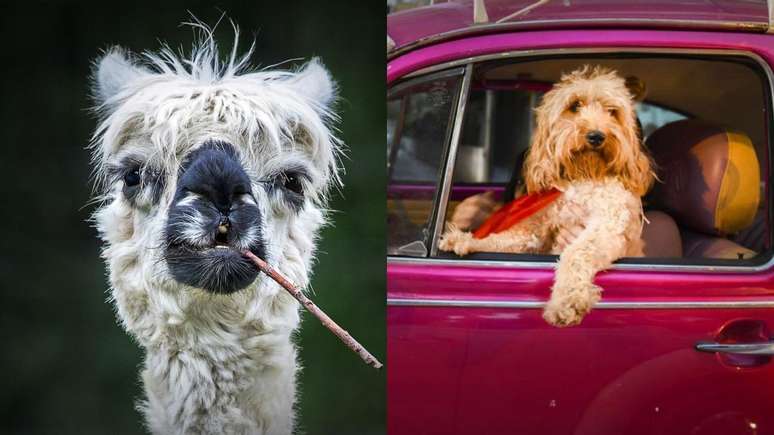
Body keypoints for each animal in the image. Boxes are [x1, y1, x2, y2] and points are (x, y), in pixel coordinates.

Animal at [442, 65, 656, 328]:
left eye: (612, 112)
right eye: (575, 105)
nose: (596, 136)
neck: (583, 175)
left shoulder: (607, 227)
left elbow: (576, 253)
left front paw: (567, 302)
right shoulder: (537, 229)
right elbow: (504, 238)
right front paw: (465, 240)